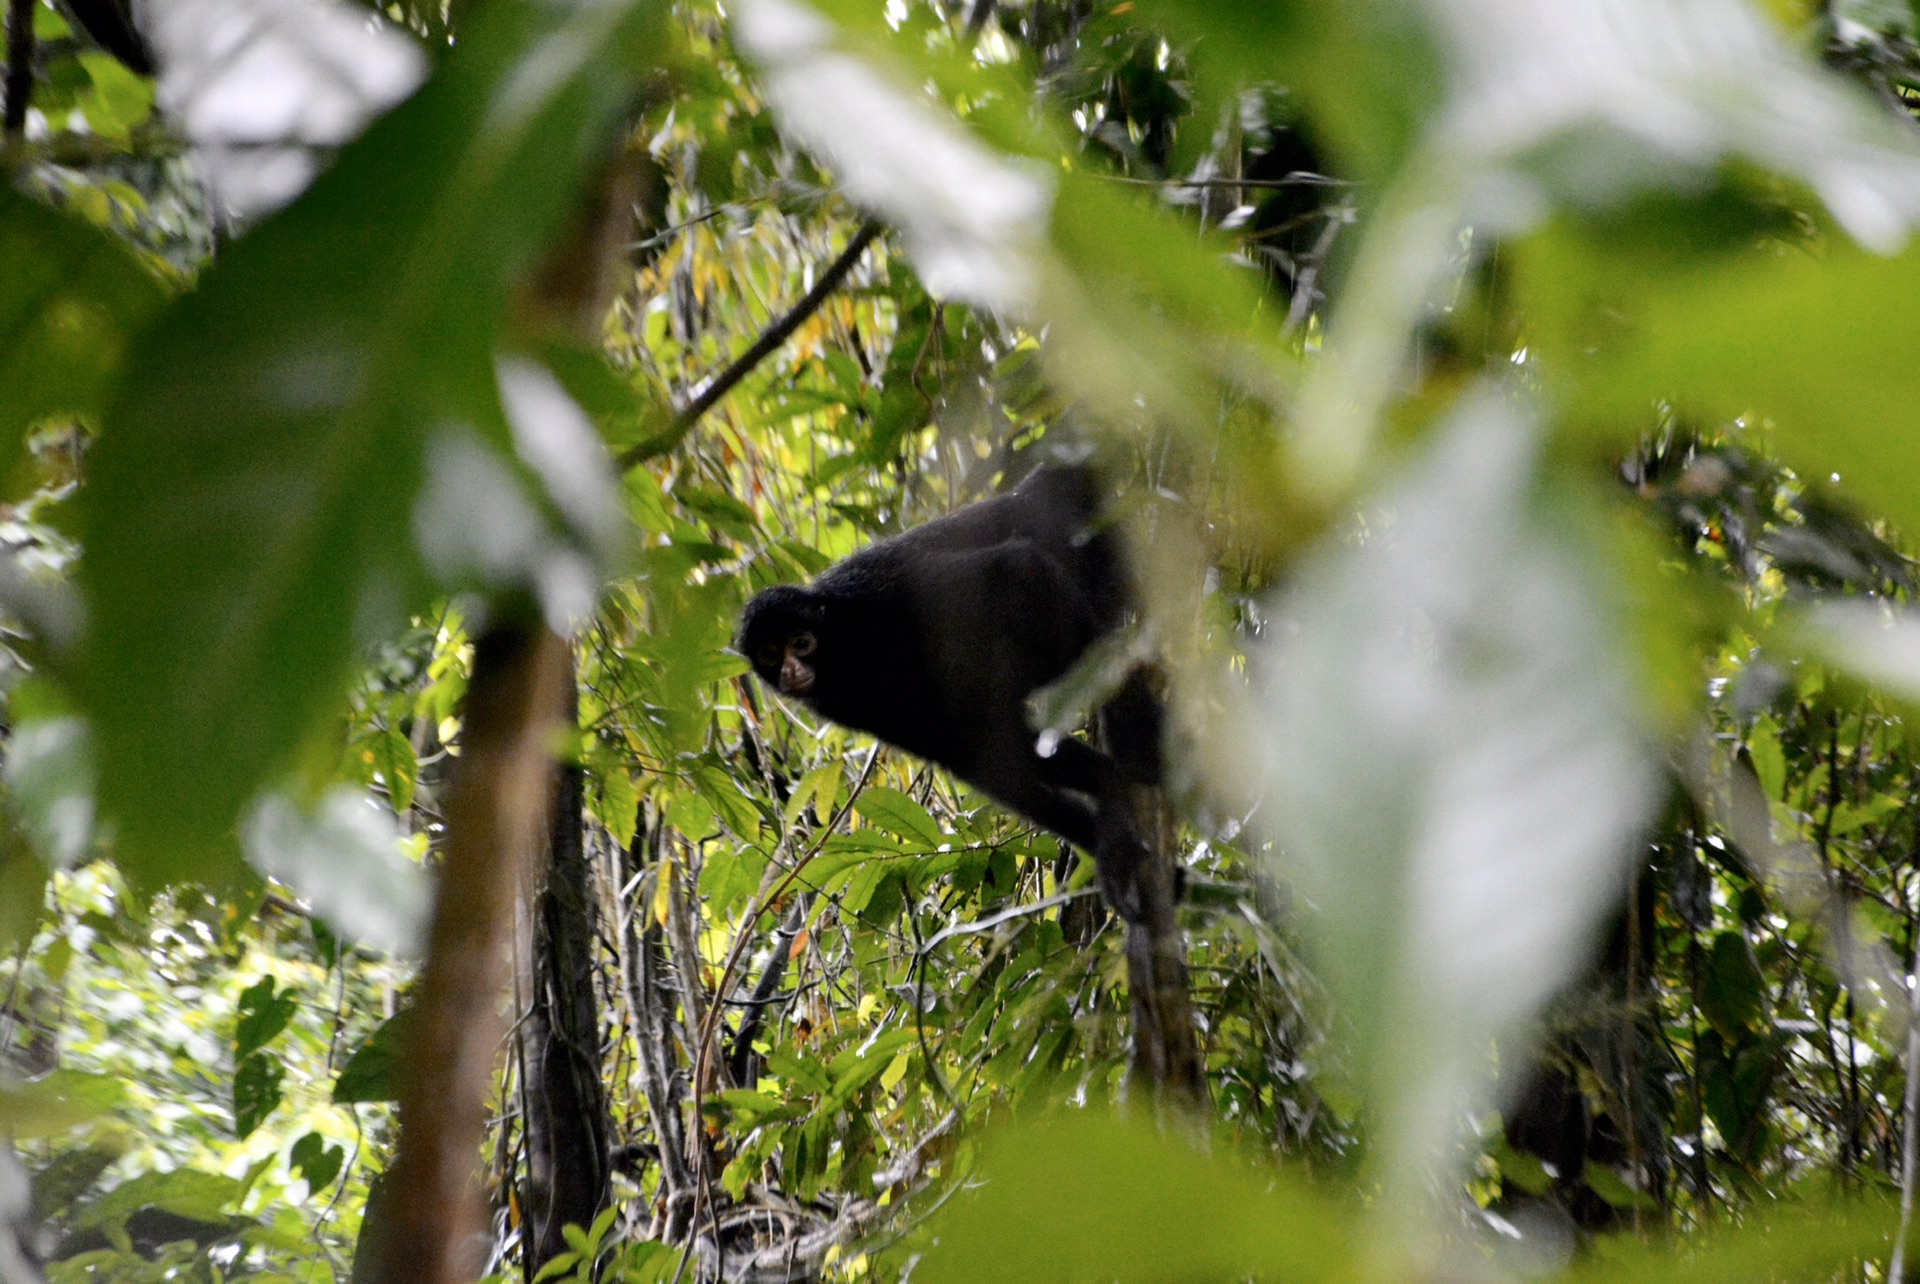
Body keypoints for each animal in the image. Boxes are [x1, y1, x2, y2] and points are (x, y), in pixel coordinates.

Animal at [737, 466, 1159, 917]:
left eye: (802, 643)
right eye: (770, 653)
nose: (791, 670)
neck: (845, 647)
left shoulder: (877, 600)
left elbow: (1017, 567)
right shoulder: (844, 700)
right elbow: (974, 750)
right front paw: (1111, 824)